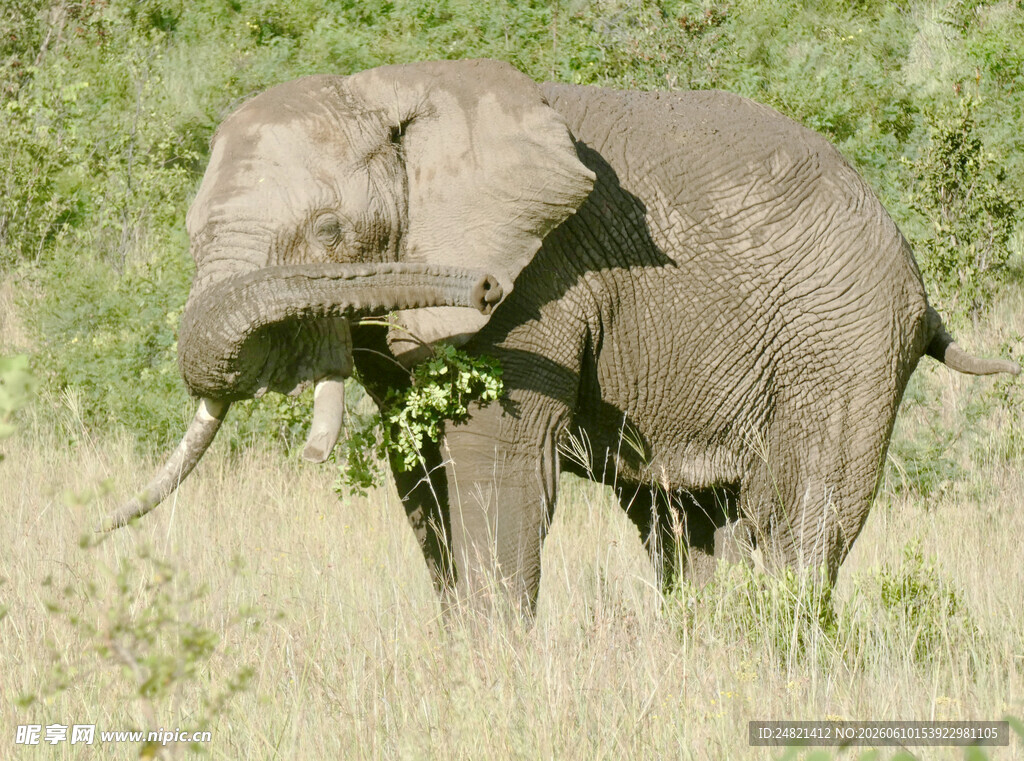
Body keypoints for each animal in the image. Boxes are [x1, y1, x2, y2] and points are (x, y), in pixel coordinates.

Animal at [107, 58, 1019, 615]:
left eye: (329, 232)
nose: (475, 283)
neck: (390, 87)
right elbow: (421, 474)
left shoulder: (541, 280)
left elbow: (495, 465)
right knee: (685, 524)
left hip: (845, 333)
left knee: (798, 517)